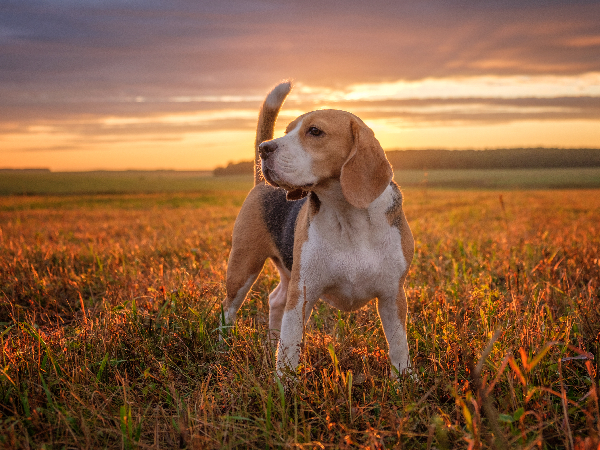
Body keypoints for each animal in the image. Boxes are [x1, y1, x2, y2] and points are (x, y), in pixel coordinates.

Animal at [223, 81, 414, 380]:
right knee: (229, 310)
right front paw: (284, 385)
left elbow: (398, 344)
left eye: (315, 131)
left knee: (275, 299)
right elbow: (290, 345)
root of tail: (260, 183)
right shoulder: (303, 293)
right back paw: (223, 347)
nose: (265, 149)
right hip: (243, 266)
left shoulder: (393, 294)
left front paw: (405, 381)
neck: (347, 216)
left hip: (287, 271)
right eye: (287, 131)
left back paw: (269, 343)